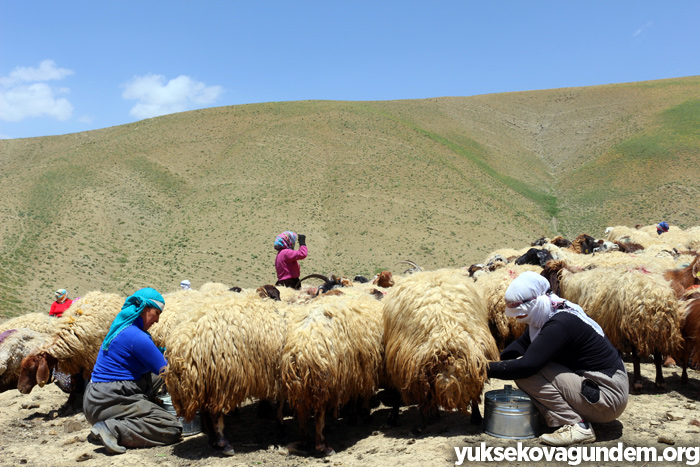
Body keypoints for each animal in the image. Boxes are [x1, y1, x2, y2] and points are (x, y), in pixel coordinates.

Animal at [380, 268, 500, 436]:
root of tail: (448, 341)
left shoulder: (398, 361)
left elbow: (398, 394)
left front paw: (393, 419)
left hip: (414, 365)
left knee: (422, 395)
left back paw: (418, 426)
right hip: (475, 364)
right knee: (474, 391)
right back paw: (475, 417)